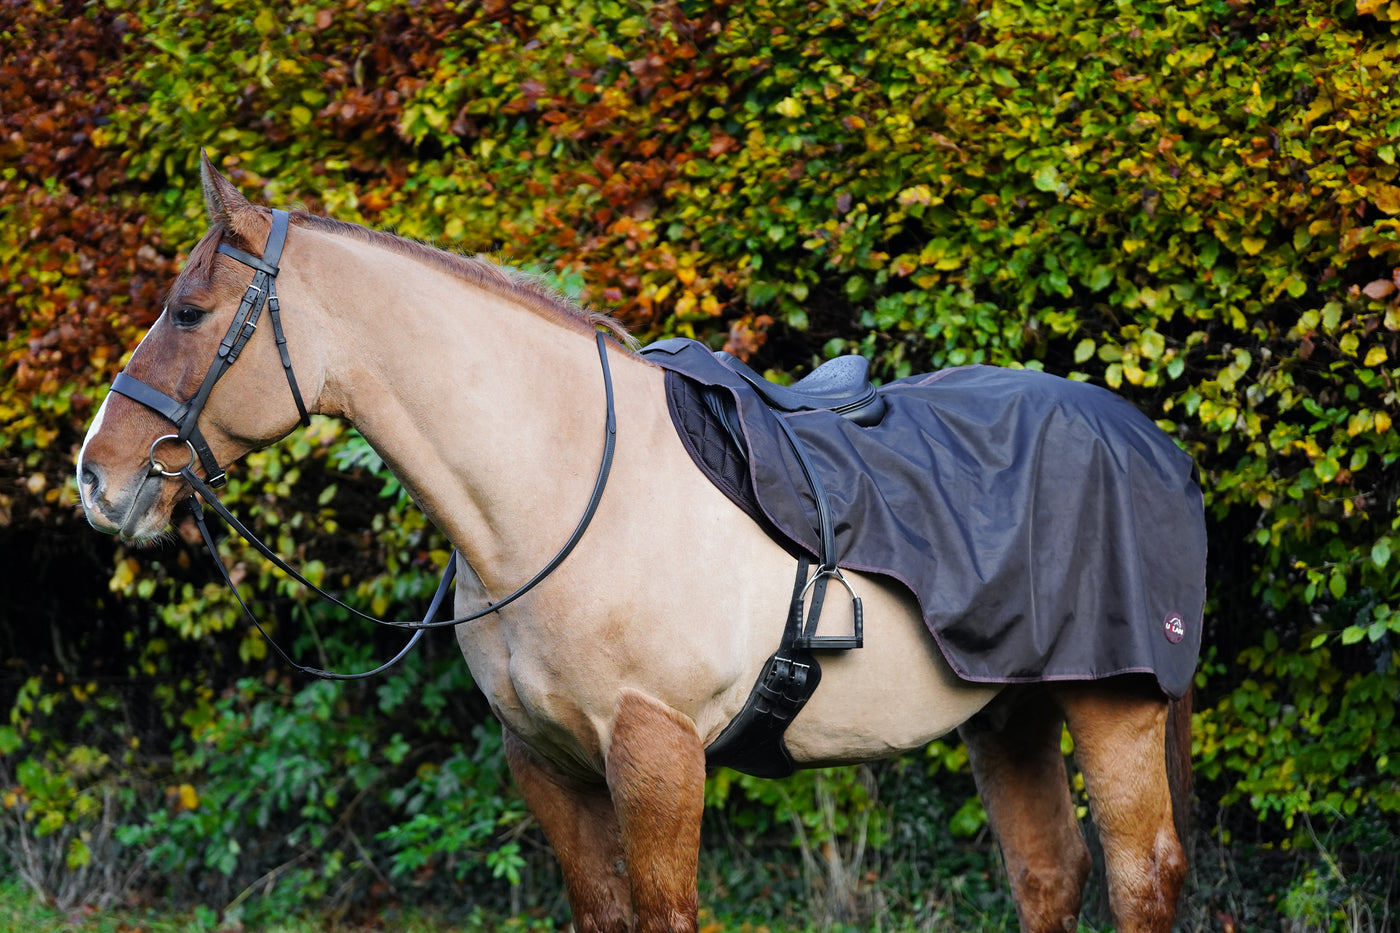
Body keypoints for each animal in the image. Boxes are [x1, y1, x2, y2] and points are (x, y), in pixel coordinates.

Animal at [77, 156, 1197, 933]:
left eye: (190, 312)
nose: (99, 478)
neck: (564, 490)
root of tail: (1147, 442)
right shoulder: (547, 764)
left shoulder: (655, 756)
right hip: (1010, 715)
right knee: (1048, 873)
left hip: (1113, 711)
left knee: (1141, 877)